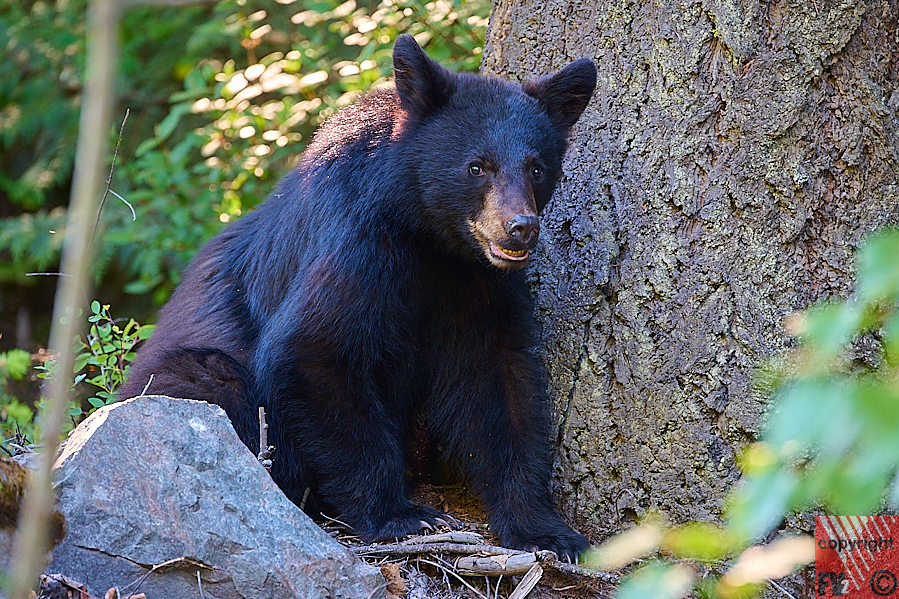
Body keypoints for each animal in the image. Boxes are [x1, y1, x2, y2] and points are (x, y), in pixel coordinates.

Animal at [120, 34, 597, 559]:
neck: (430, 240)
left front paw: (545, 530)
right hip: (183, 379)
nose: (520, 228)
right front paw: (402, 515)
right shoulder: (358, 244)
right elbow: (313, 350)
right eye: (477, 166)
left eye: (537, 168)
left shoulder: (479, 284)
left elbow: (499, 382)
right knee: (215, 384)